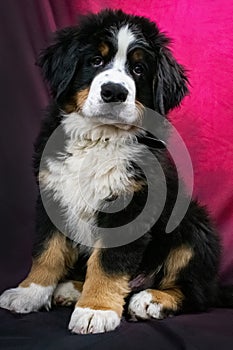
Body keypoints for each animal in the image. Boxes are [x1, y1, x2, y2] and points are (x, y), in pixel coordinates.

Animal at [0, 10, 233, 334]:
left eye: (138, 69)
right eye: (96, 61)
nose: (114, 92)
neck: (100, 138)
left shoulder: (131, 204)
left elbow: (107, 263)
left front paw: (95, 310)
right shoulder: (52, 192)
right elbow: (47, 251)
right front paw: (29, 292)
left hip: (194, 225)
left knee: (195, 293)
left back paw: (150, 300)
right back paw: (71, 289)